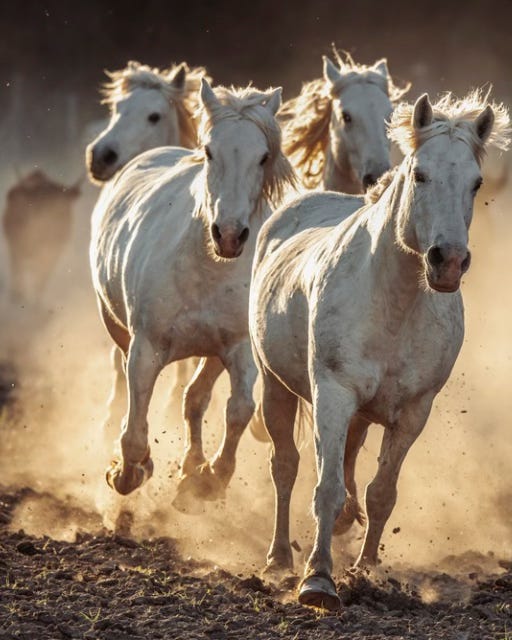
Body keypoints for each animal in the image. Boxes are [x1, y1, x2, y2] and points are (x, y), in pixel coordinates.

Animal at [3, 170, 82, 302]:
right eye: (36, 205)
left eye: (61, 210)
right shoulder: (16, 247)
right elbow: (19, 272)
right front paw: (17, 296)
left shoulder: (53, 254)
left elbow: (41, 279)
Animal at [90, 79, 295, 501]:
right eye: (210, 152)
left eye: (263, 157)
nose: (230, 235)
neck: (206, 269)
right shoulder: (146, 347)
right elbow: (135, 424)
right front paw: (128, 471)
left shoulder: (238, 348)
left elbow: (237, 410)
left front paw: (210, 478)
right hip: (117, 327)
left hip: (211, 351)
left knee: (195, 399)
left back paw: (191, 467)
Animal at [249, 90, 509, 610]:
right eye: (421, 174)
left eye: (475, 183)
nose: (449, 261)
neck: (395, 303)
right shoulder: (332, 393)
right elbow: (325, 487)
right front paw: (318, 580)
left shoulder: (413, 412)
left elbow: (382, 493)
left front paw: (367, 571)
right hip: (275, 386)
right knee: (285, 466)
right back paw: (278, 559)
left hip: (362, 413)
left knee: (349, 462)